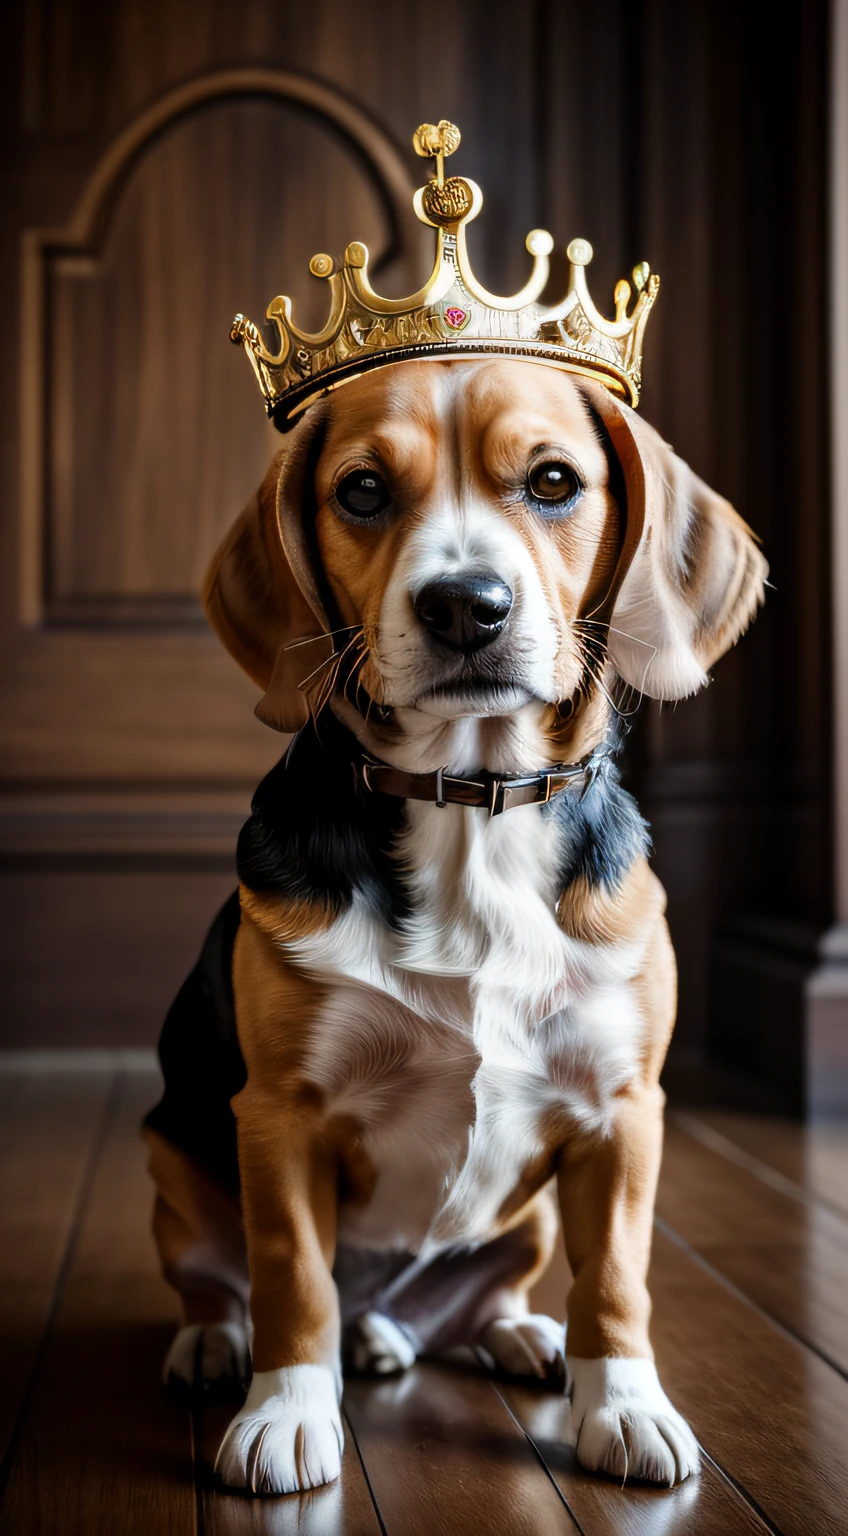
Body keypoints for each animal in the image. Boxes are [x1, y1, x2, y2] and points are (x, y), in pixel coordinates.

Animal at [142, 356, 765, 1486]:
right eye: (361, 492)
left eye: (554, 481)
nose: (465, 607)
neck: (470, 802)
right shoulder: (279, 1116)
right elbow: (291, 1276)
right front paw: (285, 1412)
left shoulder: (623, 1112)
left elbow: (615, 1279)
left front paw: (625, 1404)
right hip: (172, 1158)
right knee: (229, 1280)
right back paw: (217, 1341)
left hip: (525, 1221)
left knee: (484, 1299)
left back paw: (514, 1333)